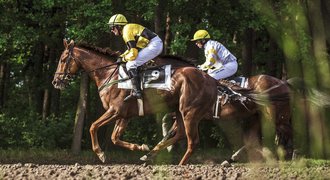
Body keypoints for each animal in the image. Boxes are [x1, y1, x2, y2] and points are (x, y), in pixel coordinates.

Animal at [52, 39, 218, 165]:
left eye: (62, 60)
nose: (55, 82)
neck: (109, 74)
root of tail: (209, 79)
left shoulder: (115, 110)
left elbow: (93, 126)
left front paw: (100, 154)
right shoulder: (124, 115)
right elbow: (114, 138)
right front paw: (141, 147)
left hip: (190, 112)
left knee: (192, 141)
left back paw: (179, 165)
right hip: (180, 110)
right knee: (180, 134)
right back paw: (149, 155)